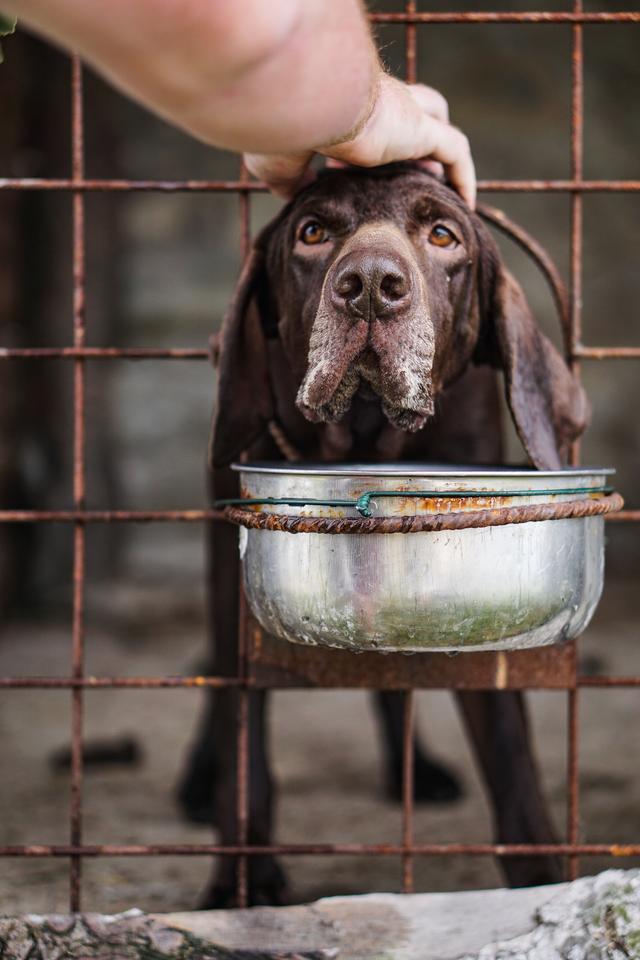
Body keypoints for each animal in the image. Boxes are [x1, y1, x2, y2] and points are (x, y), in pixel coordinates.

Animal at [180, 163, 592, 908]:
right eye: (313, 232)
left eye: (443, 235)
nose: (370, 283)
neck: (367, 434)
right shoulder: (232, 562)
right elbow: (242, 715)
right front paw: (240, 882)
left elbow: (509, 751)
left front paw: (542, 882)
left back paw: (416, 767)